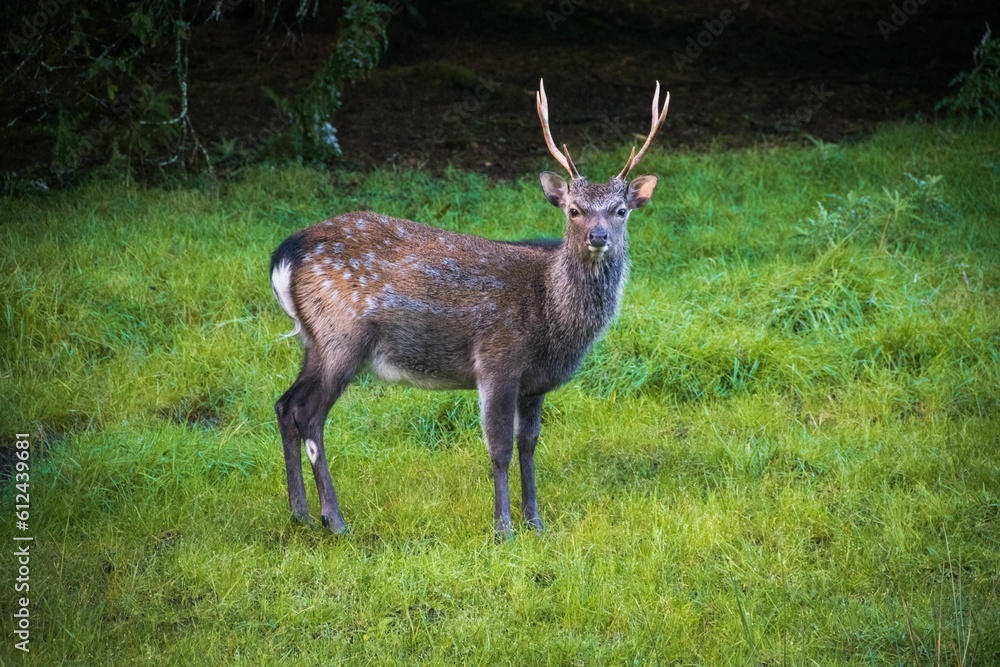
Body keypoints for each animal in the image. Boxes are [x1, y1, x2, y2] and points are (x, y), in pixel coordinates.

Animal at [271, 79, 669, 540]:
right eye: (574, 210)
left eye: (621, 211)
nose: (598, 235)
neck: (551, 318)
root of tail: (284, 256)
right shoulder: (497, 361)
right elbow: (499, 448)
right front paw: (503, 529)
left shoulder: (534, 383)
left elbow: (528, 444)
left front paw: (536, 522)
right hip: (342, 337)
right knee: (309, 414)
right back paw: (334, 519)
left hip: (314, 341)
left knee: (284, 404)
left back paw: (299, 512)